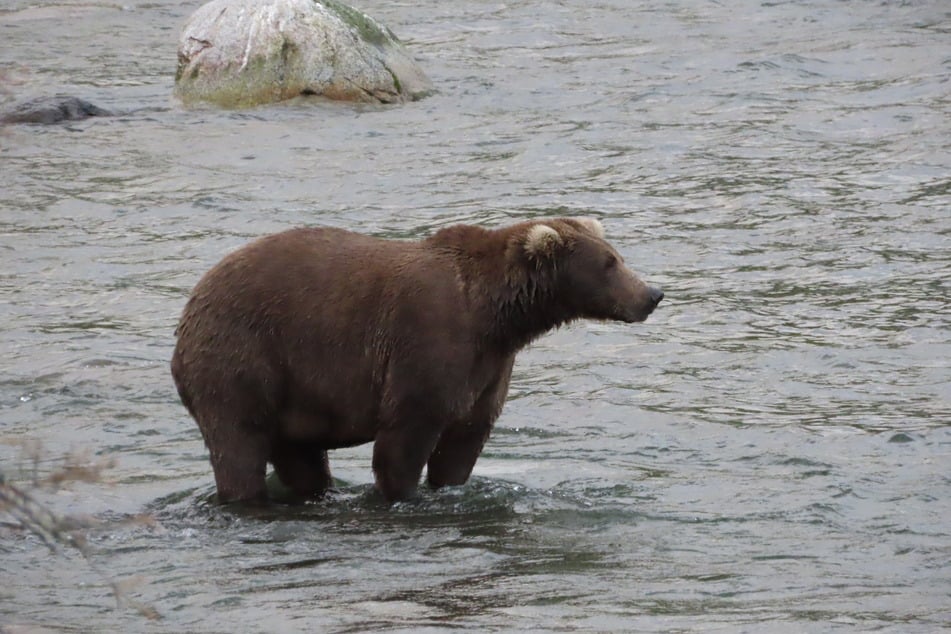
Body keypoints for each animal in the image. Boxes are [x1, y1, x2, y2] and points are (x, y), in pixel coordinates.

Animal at [170, 217, 663, 504]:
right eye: (609, 263)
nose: (652, 294)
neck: (495, 316)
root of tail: (191, 304)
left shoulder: (487, 366)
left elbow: (464, 439)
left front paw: (450, 483)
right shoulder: (428, 341)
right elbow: (406, 435)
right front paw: (402, 492)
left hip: (294, 395)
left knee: (300, 458)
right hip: (243, 358)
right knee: (238, 443)